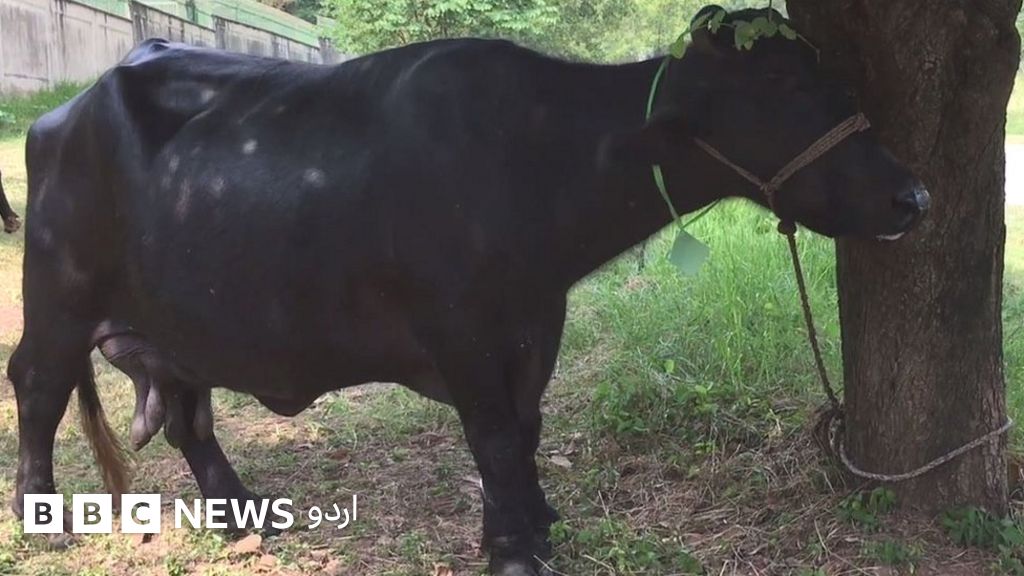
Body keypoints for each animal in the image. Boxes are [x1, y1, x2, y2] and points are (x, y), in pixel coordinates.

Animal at [8, 6, 929, 575]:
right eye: (785, 90)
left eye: (830, 80)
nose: (912, 198)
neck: (537, 154)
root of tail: (61, 116)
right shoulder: (460, 331)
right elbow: (490, 434)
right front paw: (517, 546)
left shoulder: (537, 323)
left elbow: (523, 429)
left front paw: (529, 523)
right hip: (59, 291)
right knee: (38, 386)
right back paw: (38, 515)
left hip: (182, 319)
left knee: (189, 414)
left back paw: (244, 516)